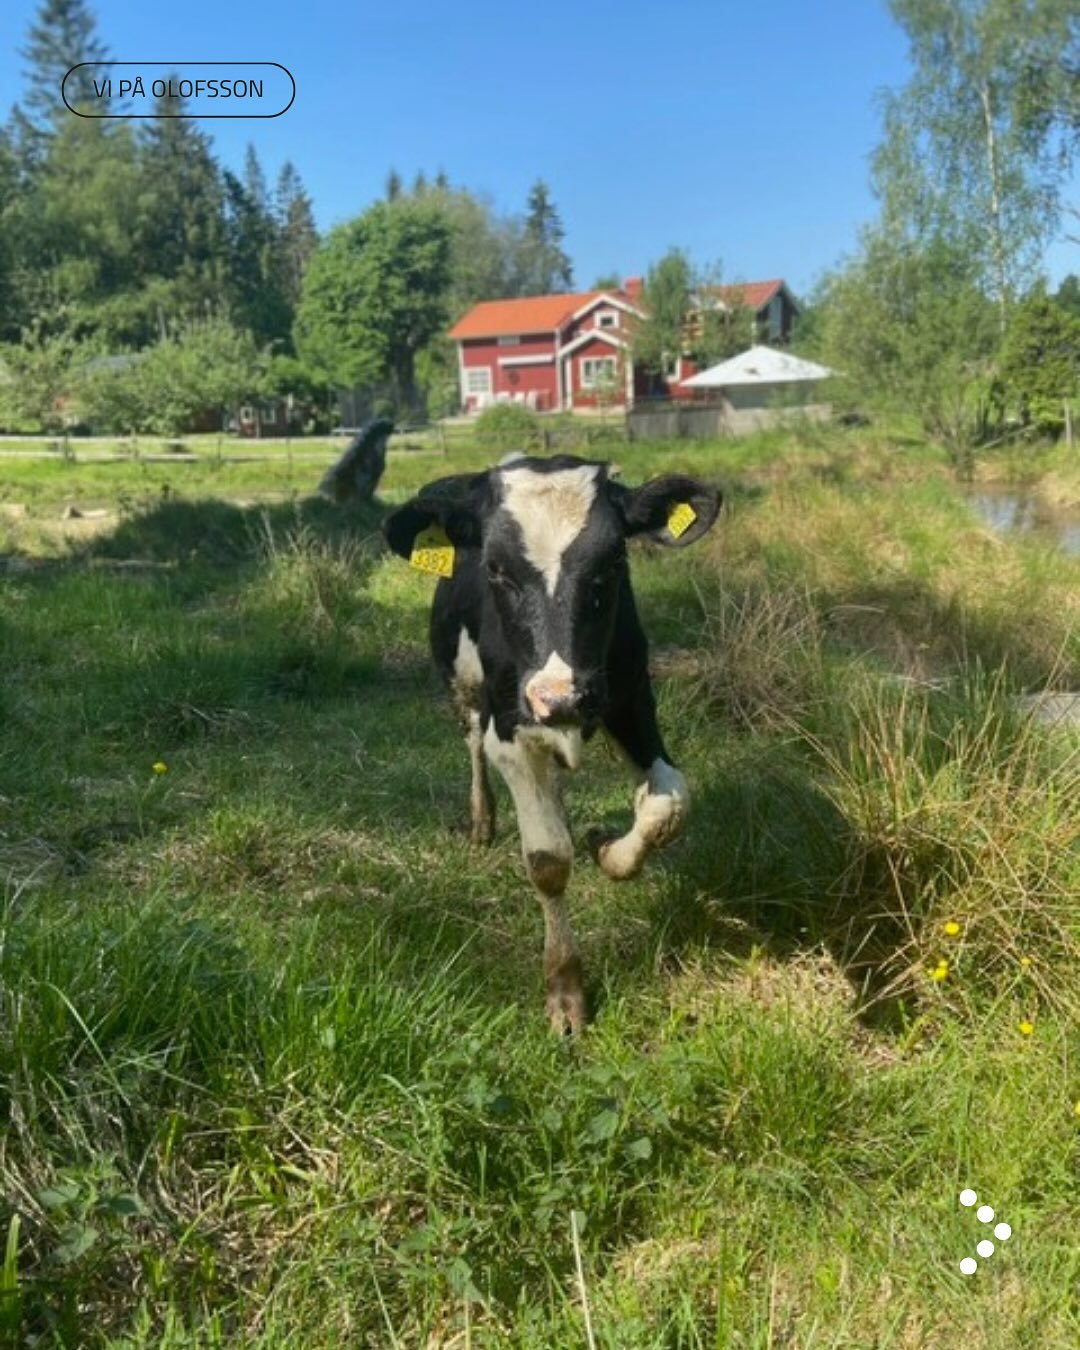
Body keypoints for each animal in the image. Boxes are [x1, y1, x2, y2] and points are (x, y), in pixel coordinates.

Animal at [383, 454, 721, 1033]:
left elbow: (667, 804)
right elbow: (547, 858)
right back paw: (481, 821)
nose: (559, 696)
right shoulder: (512, 729)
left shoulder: (630, 699)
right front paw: (565, 991)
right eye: (495, 568)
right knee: (472, 745)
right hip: (462, 687)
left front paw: (607, 847)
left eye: (613, 560)